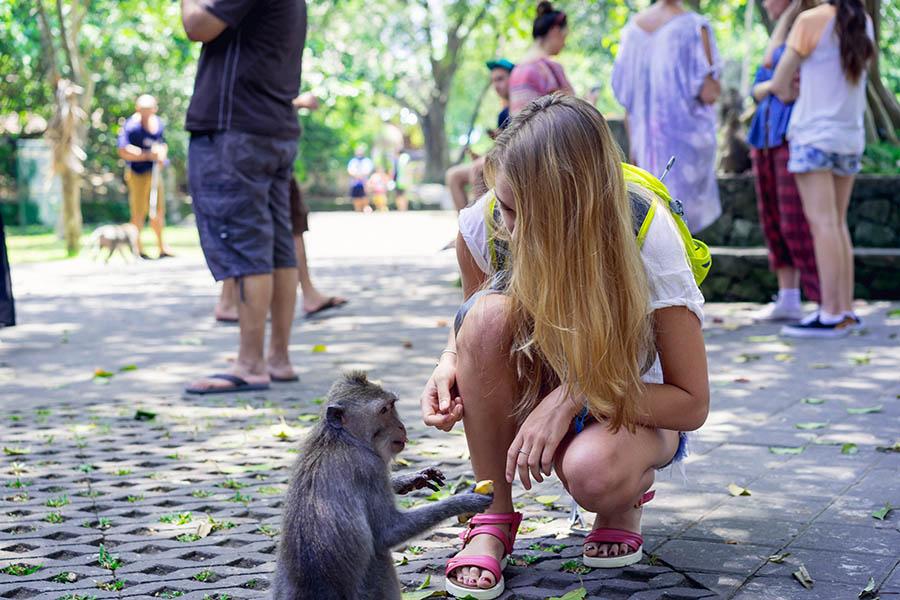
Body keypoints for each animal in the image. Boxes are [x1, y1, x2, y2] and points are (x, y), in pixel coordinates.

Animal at [271, 371, 493, 600]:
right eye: (384, 410)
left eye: (391, 405)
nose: (401, 426)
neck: (341, 437)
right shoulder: (369, 466)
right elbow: (387, 531)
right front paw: (463, 501)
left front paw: (411, 479)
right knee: (380, 555)